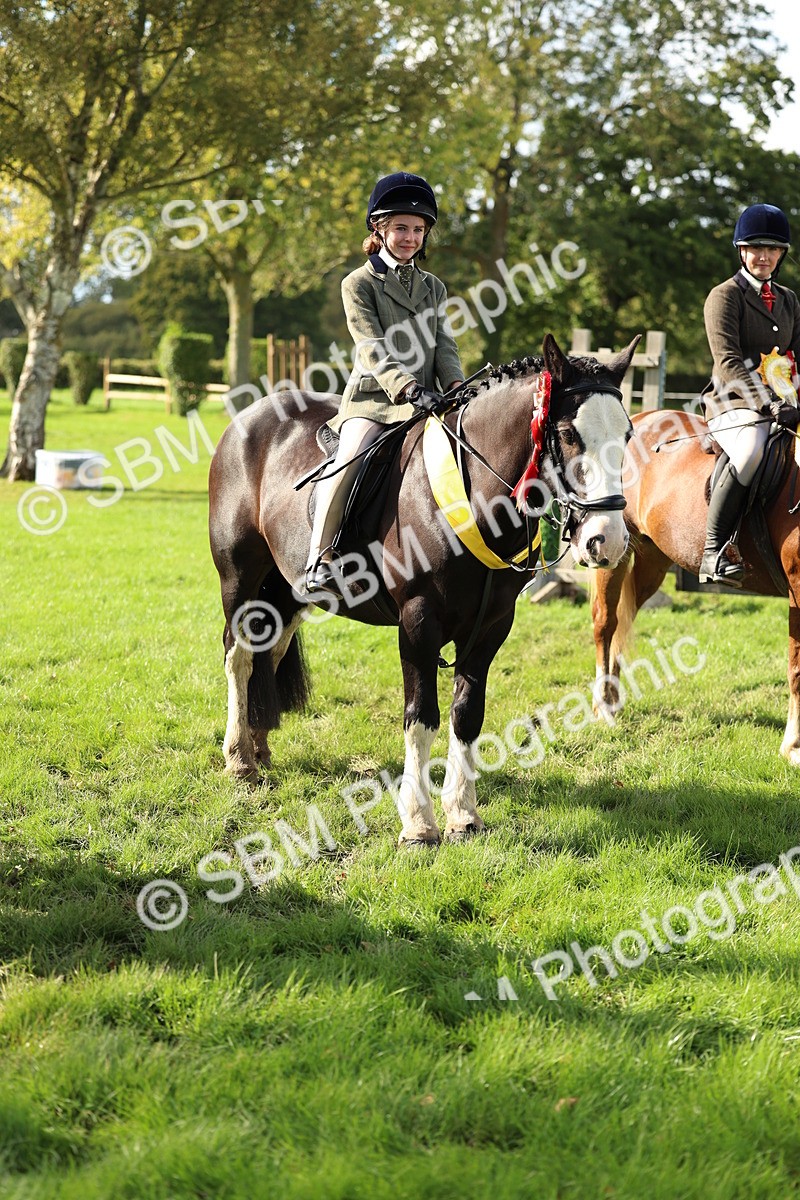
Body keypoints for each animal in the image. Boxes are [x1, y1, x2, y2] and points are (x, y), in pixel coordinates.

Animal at [208, 333, 640, 845]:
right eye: (570, 434)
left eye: (628, 435)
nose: (606, 540)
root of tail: (248, 418)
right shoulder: (417, 622)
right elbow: (421, 717)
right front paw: (418, 823)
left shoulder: (492, 625)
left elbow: (467, 714)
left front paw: (463, 816)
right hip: (240, 577)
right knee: (238, 655)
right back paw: (239, 760)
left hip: (288, 589)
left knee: (268, 652)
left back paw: (259, 747)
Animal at [590, 407, 800, 765]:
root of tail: (642, 417)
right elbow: (797, 671)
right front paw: (793, 747)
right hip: (612, 552)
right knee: (606, 624)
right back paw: (604, 707)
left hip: (652, 561)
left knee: (622, 621)